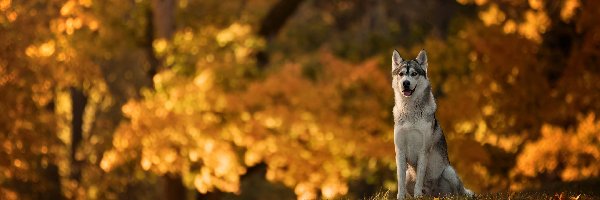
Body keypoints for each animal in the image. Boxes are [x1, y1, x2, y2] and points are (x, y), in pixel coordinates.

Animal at [392, 49, 476, 198]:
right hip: (409, 175)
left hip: (449, 171)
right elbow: (400, 181)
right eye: (401, 74)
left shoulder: (423, 151)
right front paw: (400, 197)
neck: (410, 111)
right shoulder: (400, 151)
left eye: (414, 73)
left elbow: (419, 179)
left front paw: (417, 196)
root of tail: (433, 194)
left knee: (457, 193)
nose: (406, 83)